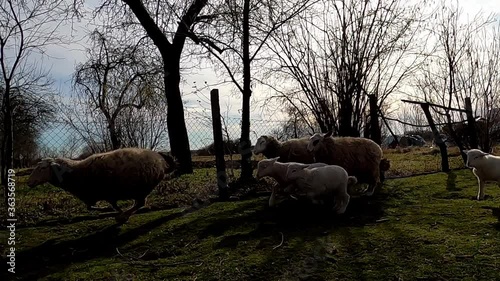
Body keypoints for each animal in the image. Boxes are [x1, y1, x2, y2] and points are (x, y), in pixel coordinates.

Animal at [26, 147, 178, 223]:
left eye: (42, 168)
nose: (29, 182)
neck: (75, 172)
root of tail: (161, 161)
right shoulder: (98, 195)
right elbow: (93, 207)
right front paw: (112, 210)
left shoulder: (104, 193)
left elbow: (100, 206)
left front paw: (113, 212)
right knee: (139, 203)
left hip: (142, 187)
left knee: (140, 203)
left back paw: (123, 217)